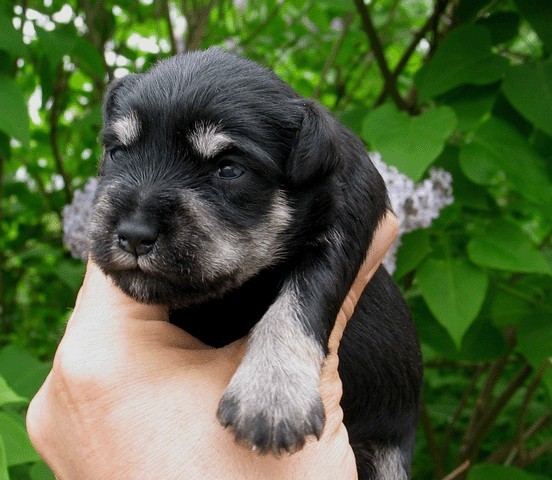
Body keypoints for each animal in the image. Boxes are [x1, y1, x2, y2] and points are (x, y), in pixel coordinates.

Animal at [88, 47, 422, 478]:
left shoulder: (345, 222)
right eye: (116, 153)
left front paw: (272, 393)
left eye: (229, 169)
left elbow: (301, 299)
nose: (133, 234)